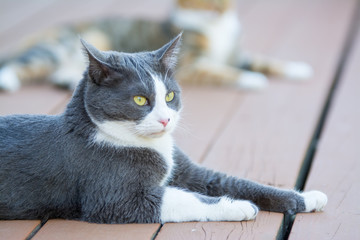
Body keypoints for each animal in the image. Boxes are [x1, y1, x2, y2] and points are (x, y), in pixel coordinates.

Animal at [0, 0, 312, 92]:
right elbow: (220, 71)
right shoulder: (190, 66)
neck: (218, 30)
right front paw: (251, 79)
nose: (219, 10)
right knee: (21, 62)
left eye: (224, 2)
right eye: (203, 2)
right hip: (53, 50)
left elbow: (265, 60)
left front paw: (298, 69)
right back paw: (8, 80)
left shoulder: (237, 54)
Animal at [0, 35, 326, 223]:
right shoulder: (112, 198)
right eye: (140, 100)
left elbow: (234, 181)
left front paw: (308, 198)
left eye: (169, 96)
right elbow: (183, 198)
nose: (166, 119)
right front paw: (237, 207)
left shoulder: (190, 172)